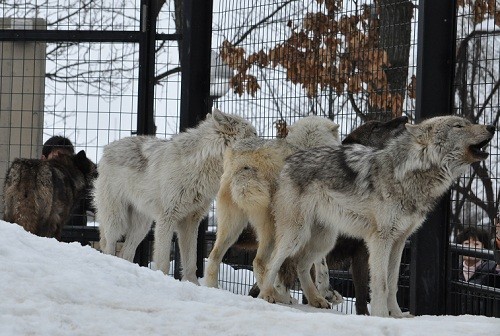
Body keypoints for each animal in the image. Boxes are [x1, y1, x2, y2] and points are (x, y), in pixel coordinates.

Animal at [94, 109, 258, 282]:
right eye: (254, 133)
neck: (199, 167)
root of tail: (108, 147)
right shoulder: (166, 219)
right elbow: (163, 263)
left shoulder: (190, 222)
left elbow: (191, 263)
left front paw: (193, 284)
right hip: (116, 220)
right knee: (109, 246)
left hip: (142, 226)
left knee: (126, 252)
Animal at [203, 116, 340, 302]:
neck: (307, 144)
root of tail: (244, 162)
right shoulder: (319, 228)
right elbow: (320, 265)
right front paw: (325, 293)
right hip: (272, 230)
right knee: (260, 262)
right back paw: (272, 295)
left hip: (231, 227)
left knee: (214, 256)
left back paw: (214, 289)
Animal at [258, 116, 496, 318]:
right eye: (458, 126)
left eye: (468, 122)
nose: (492, 127)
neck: (408, 173)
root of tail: (289, 160)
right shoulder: (380, 240)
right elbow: (380, 283)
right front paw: (381, 316)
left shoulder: (399, 241)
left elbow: (393, 284)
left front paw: (398, 316)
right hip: (296, 235)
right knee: (270, 262)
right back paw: (268, 295)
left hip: (324, 241)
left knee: (301, 264)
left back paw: (316, 299)